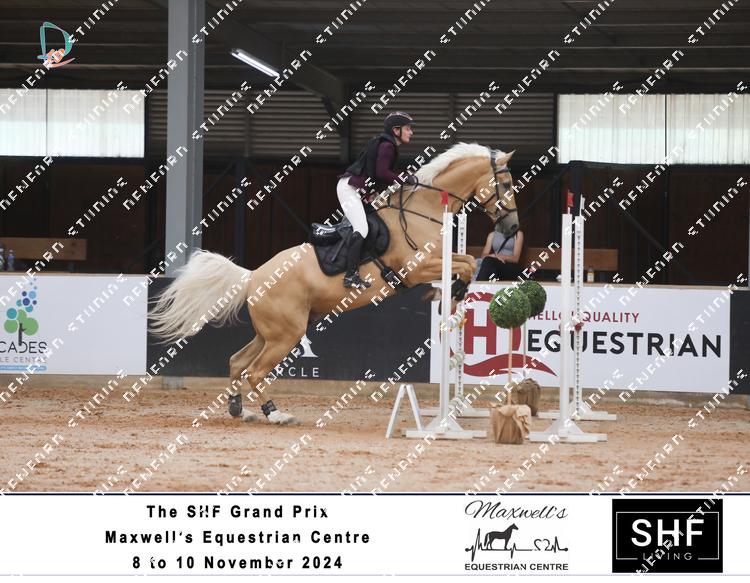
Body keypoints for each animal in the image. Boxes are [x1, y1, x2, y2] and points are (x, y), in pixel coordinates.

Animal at [150, 143, 518, 425]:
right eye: (507, 184)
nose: (512, 228)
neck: (422, 209)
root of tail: (252, 276)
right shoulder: (416, 267)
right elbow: (465, 263)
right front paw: (450, 294)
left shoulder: (434, 262)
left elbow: (466, 262)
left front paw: (450, 294)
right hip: (285, 335)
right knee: (254, 371)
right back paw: (276, 414)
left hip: (272, 332)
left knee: (238, 362)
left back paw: (240, 410)